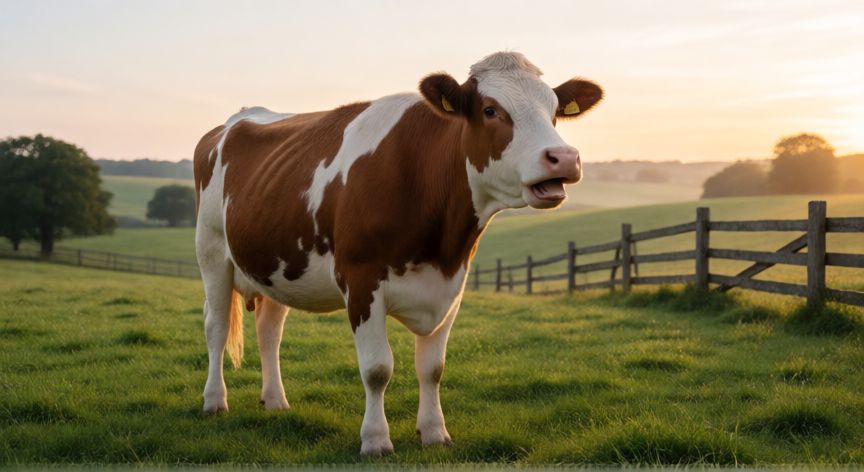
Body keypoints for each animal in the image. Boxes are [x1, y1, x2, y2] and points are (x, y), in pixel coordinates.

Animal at [192, 51, 603, 456]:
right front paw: (376, 440)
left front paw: (435, 432)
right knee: (216, 326)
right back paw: (214, 401)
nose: (564, 157)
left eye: (554, 111)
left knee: (269, 331)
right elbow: (377, 369)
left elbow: (433, 368)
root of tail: (237, 118)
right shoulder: (361, 280)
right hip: (211, 251)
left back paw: (275, 400)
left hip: (279, 264)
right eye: (490, 110)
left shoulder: (451, 287)